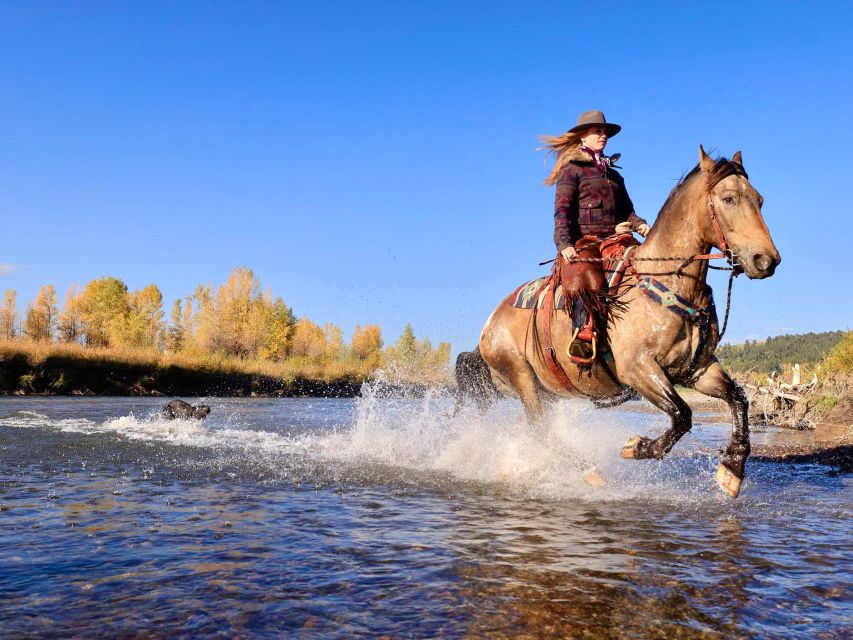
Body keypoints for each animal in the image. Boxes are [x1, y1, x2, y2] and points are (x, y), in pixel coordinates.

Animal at [480, 148, 780, 498]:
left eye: (759, 200)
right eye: (729, 198)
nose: (767, 260)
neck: (670, 284)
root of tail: (490, 323)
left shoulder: (697, 369)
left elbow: (738, 400)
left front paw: (731, 471)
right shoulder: (638, 368)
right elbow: (682, 415)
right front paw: (636, 447)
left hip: (547, 391)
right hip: (522, 378)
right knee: (540, 430)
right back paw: (589, 471)